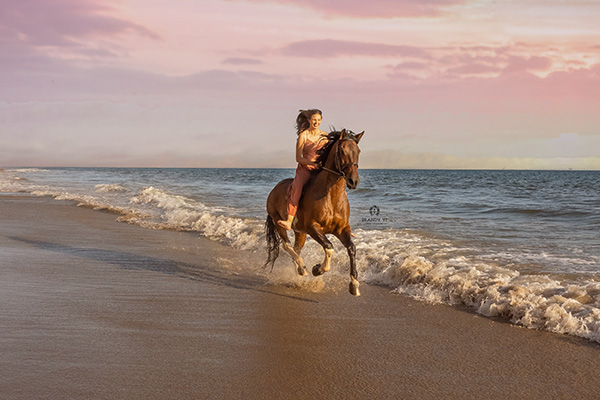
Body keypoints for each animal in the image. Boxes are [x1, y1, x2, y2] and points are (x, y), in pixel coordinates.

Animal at [264, 130, 366, 296]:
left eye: (358, 151)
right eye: (342, 150)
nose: (353, 181)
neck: (331, 195)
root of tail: (274, 189)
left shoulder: (342, 229)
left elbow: (352, 248)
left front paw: (354, 284)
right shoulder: (313, 228)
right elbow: (329, 246)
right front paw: (318, 269)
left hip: (300, 232)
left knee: (296, 249)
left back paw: (300, 270)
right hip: (279, 222)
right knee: (287, 245)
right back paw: (303, 268)